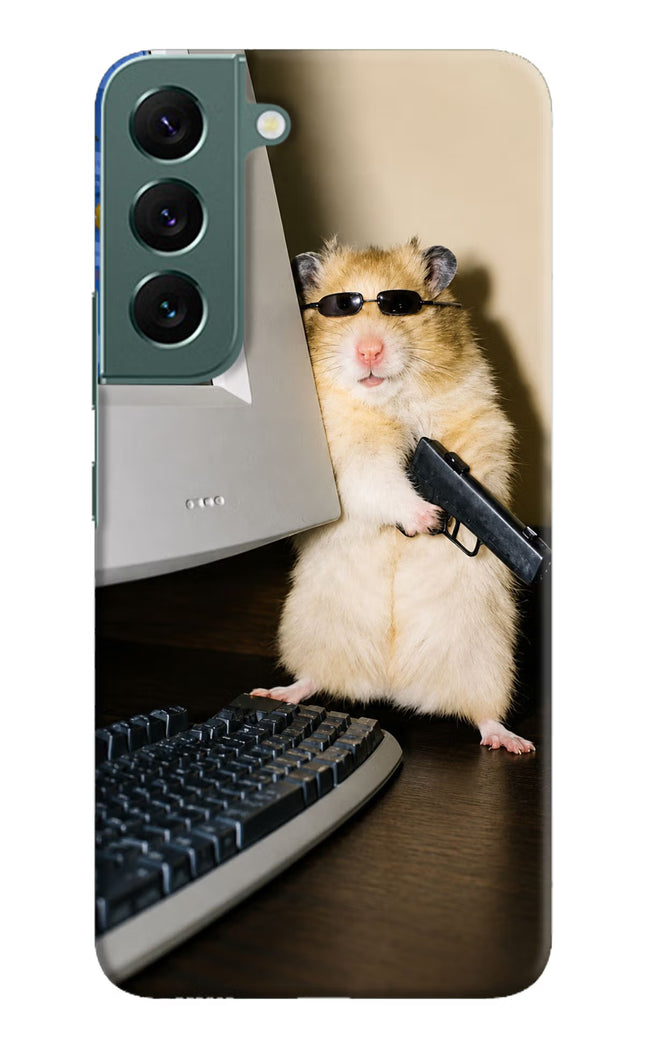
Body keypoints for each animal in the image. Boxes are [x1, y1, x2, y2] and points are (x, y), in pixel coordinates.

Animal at [251, 238, 534, 754]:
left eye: (401, 306)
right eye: (340, 307)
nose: (369, 351)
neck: (389, 401)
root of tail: (393, 686)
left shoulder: (481, 424)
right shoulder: (348, 458)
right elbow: (380, 481)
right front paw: (428, 518)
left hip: (487, 660)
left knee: (484, 714)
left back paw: (512, 742)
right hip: (311, 632)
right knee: (313, 678)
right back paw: (276, 692)